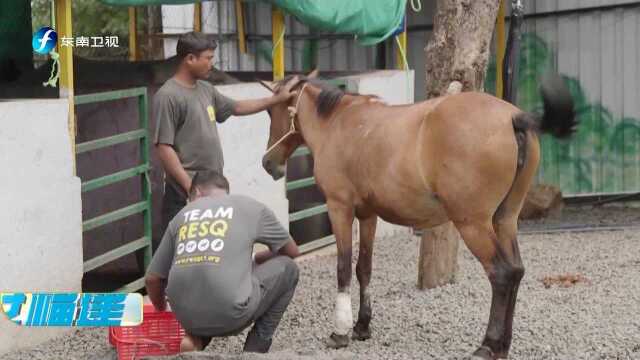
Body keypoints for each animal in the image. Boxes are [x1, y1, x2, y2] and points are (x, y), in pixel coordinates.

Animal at [258, 71, 576, 360]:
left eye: (272, 110)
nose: (268, 163)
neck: (340, 123)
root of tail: (513, 117)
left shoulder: (340, 209)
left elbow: (343, 268)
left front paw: (340, 332)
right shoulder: (368, 215)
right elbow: (364, 268)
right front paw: (362, 326)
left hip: (473, 224)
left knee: (502, 274)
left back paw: (488, 345)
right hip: (505, 220)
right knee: (517, 271)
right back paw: (503, 344)